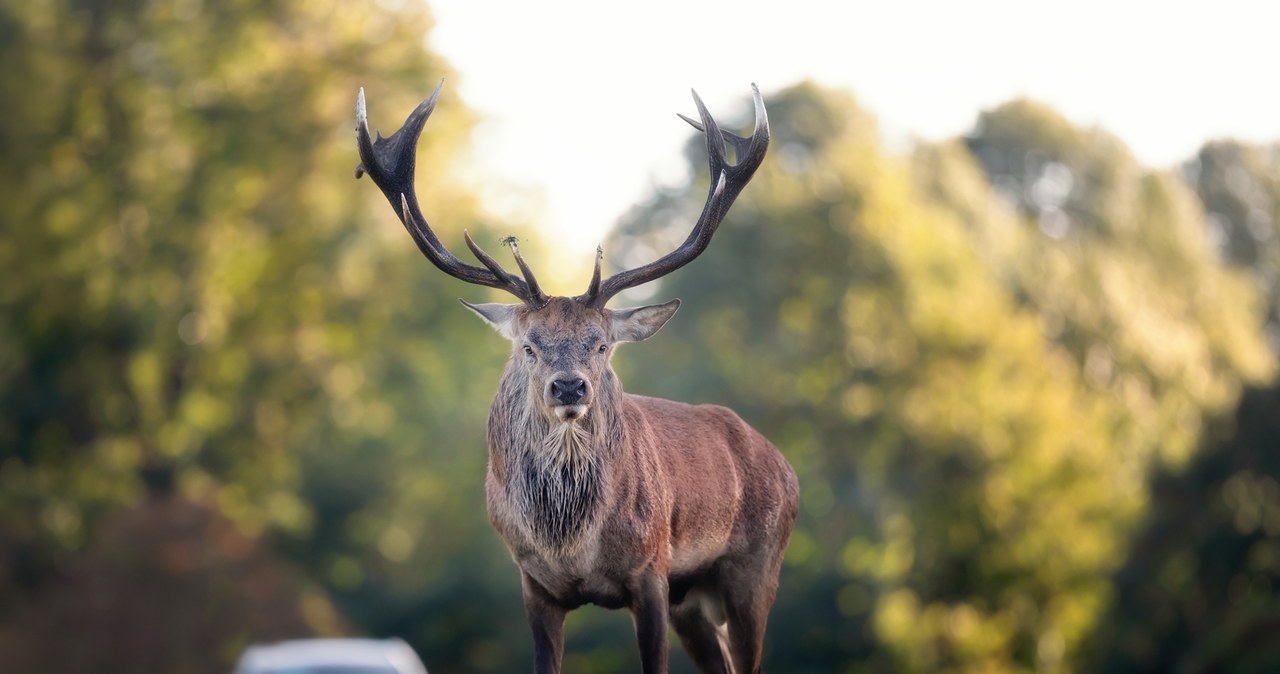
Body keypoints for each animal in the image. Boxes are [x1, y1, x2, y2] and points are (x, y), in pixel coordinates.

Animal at [355, 83, 793, 674]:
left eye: (602, 345)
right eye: (529, 346)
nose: (569, 387)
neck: (572, 545)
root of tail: (783, 464)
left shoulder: (651, 572)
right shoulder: (534, 584)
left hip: (756, 568)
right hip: (696, 600)